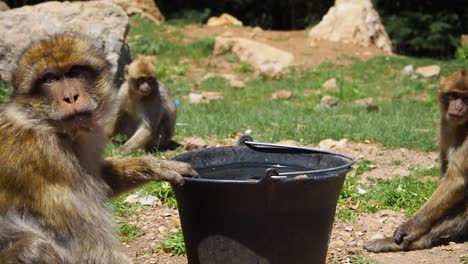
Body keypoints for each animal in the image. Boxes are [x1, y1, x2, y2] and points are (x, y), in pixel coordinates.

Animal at [0, 34, 197, 262]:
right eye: (49, 79)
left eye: (75, 72)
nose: (70, 97)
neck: (47, 127)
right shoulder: (48, 165)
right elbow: (94, 251)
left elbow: (101, 178)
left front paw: (154, 166)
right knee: (34, 247)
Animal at [366, 69, 468, 253]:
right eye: (453, 95)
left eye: (466, 98)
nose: (458, 107)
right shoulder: (446, 122)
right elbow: (446, 174)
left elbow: (456, 180)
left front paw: (412, 227)